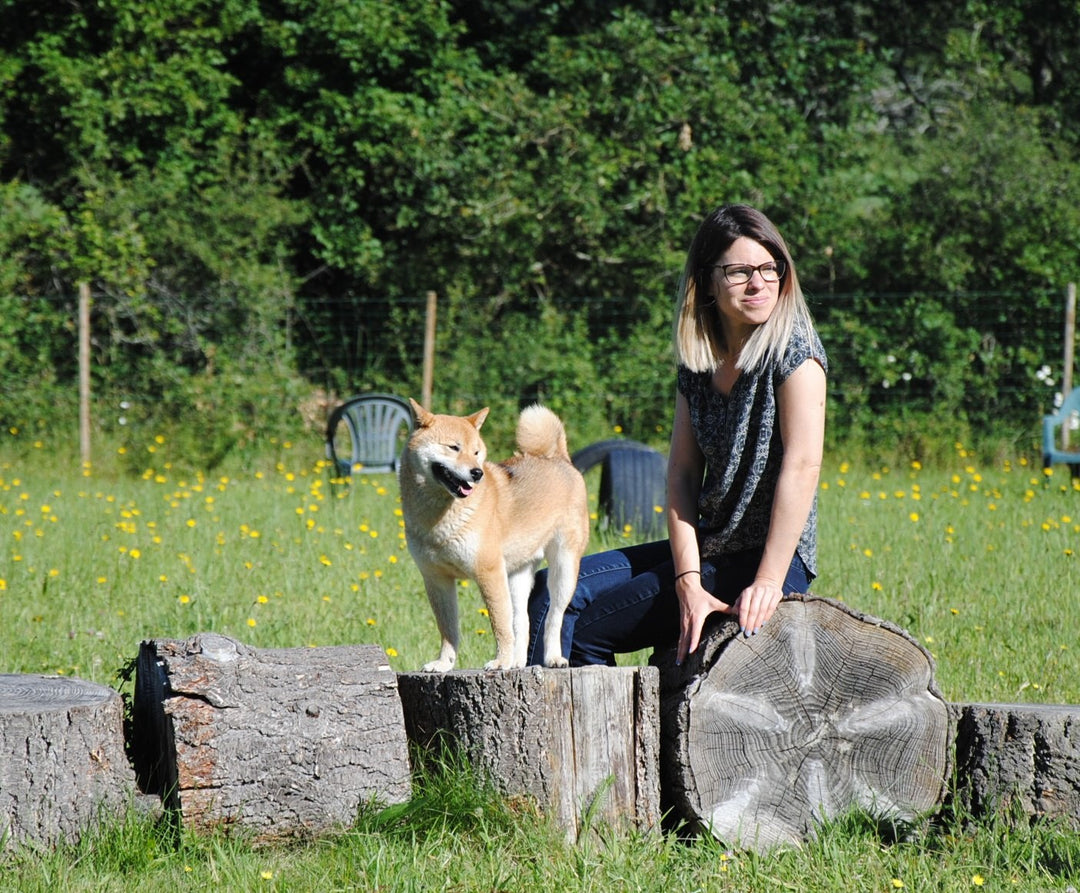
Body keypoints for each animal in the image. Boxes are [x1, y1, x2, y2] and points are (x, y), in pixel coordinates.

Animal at [401, 399, 591, 669]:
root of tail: (558, 459)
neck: (439, 515)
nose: (476, 473)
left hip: (564, 569)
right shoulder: (436, 578)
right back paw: (516, 663)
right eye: (454, 447)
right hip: (517, 575)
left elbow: (500, 626)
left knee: (554, 617)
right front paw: (444, 664)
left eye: (476, 452)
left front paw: (500, 661)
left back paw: (552, 657)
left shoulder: (489, 573)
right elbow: (448, 629)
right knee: (522, 621)